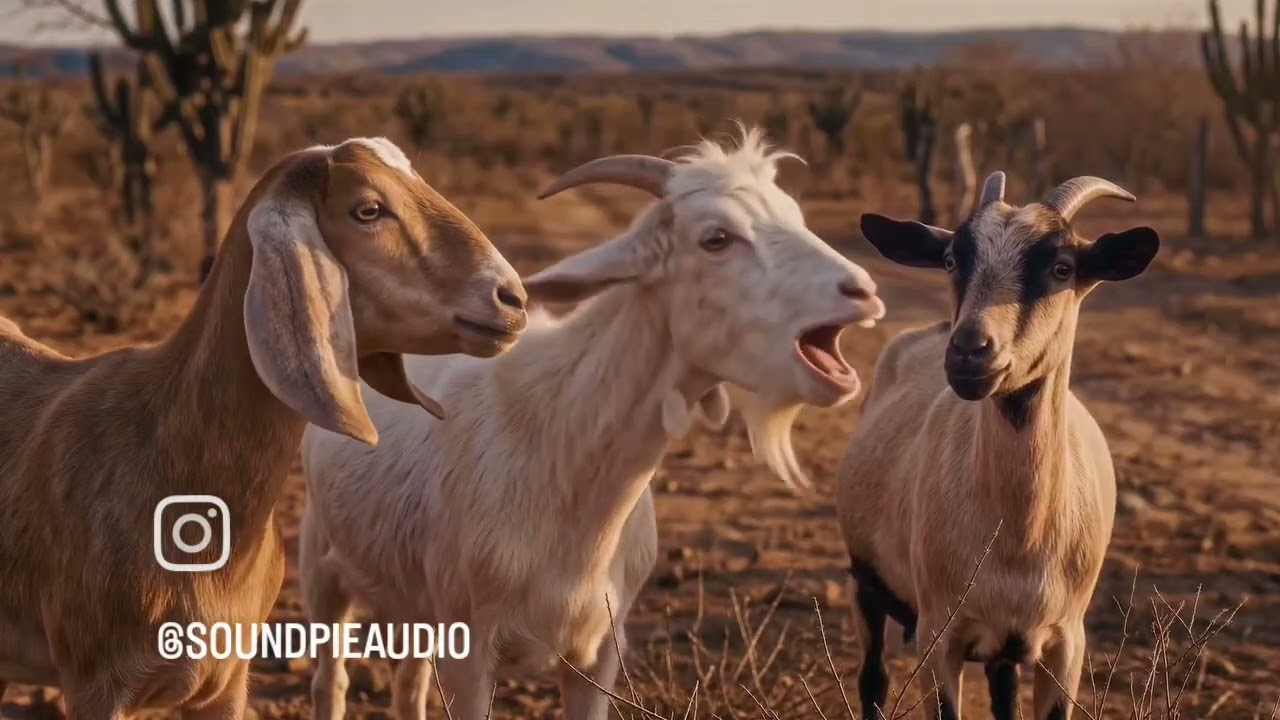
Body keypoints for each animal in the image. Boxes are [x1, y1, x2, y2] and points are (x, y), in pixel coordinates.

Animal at [298, 128, 886, 720]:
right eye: (716, 238)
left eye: (794, 215)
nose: (863, 291)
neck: (564, 449)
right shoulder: (471, 649)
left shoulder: (599, 650)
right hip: (322, 566)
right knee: (331, 680)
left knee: (408, 684)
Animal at [835, 172, 1160, 720]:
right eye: (951, 260)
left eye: (1062, 267)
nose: (970, 352)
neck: (1017, 541)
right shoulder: (939, 637)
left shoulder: (1066, 642)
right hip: (865, 579)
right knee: (873, 679)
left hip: (1003, 648)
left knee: (1002, 689)